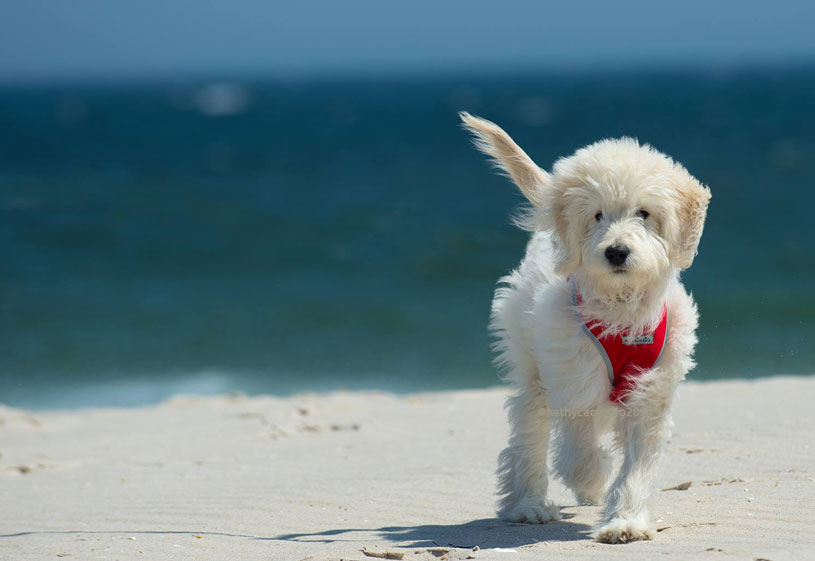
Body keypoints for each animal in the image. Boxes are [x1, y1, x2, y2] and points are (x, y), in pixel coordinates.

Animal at [462, 112, 712, 544]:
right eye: (597, 215)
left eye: (643, 213)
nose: (616, 251)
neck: (620, 309)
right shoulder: (574, 378)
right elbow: (579, 445)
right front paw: (591, 479)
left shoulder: (650, 391)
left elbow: (636, 465)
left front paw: (625, 522)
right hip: (534, 370)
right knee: (529, 432)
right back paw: (529, 505)